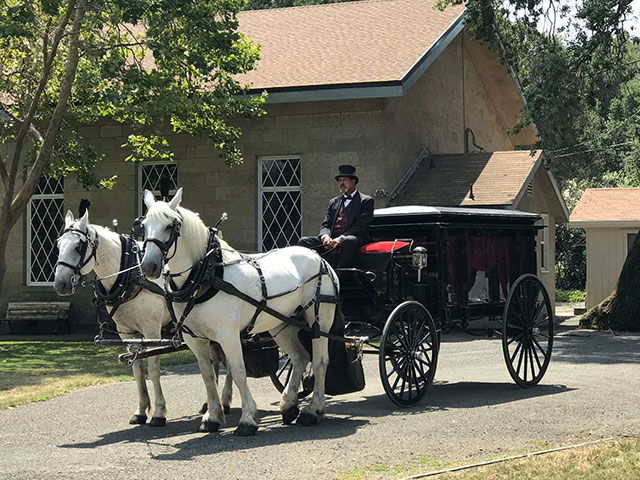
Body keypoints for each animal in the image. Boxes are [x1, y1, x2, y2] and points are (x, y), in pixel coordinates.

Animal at [53, 209, 232, 424]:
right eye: (58, 244)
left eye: (79, 246)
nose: (60, 284)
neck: (131, 276)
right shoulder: (127, 333)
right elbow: (137, 371)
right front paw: (140, 411)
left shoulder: (152, 330)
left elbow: (153, 370)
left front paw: (158, 413)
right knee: (215, 360)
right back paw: (211, 404)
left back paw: (225, 401)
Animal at [139, 188, 340, 436]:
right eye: (144, 225)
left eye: (169, 226)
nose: (148, 267)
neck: (207, 275)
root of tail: (319, 258)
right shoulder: (196, 339)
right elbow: (208, 376)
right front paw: (212, 417)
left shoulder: (228, 335)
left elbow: (238, 372)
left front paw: (247, 419)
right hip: (281, 324)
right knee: (300, 357)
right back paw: (289, 405)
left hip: (319, 320)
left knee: (320, 360)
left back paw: (313, 410)